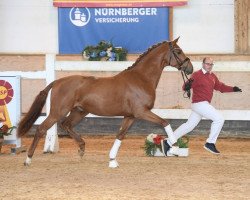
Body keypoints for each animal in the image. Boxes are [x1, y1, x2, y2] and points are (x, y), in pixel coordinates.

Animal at [17, 36, 193, 166]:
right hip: (57, 112)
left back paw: (81, 148)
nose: (190, 68)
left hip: (79, 111)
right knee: (41, 129)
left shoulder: (130, 116)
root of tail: (57, 82)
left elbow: (120, 135)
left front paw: (112, 160)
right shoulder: (141, 112)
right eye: (178, 51)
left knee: (66, 125)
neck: (141, 79)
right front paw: (174, 148)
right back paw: (28, 159)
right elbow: (165, 122)